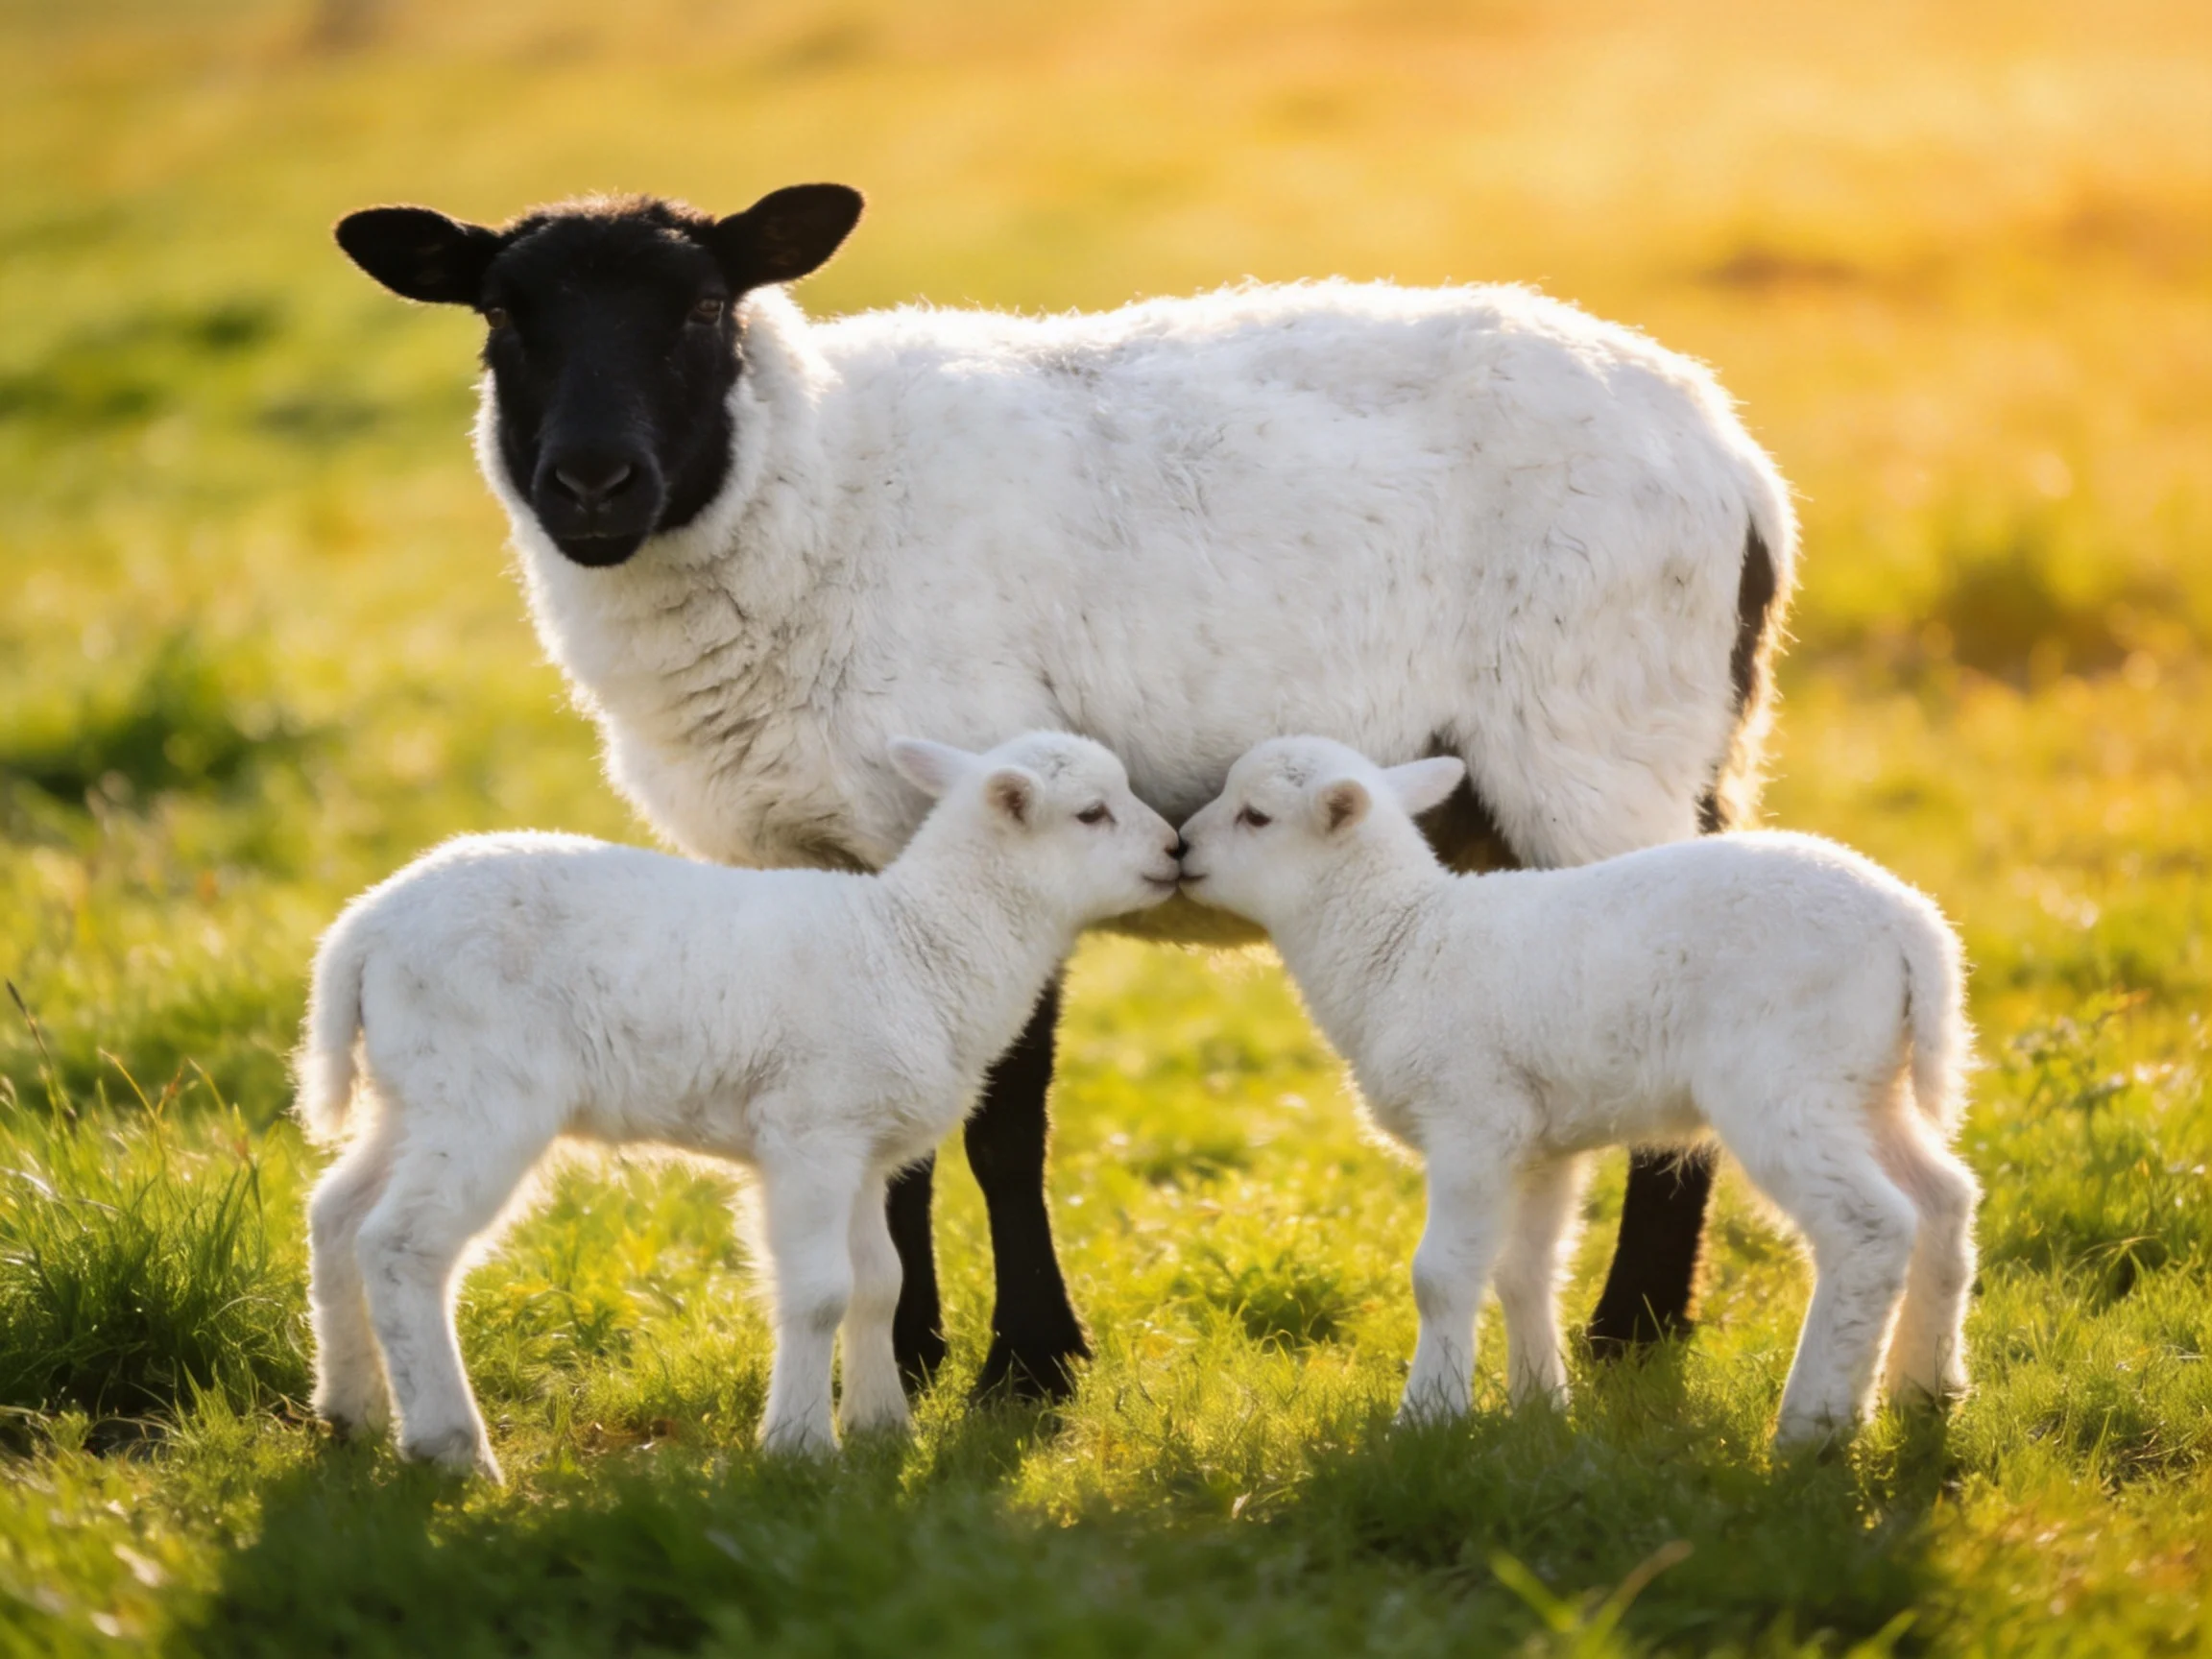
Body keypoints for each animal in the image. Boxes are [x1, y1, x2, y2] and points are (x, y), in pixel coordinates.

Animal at [294, 732, 1181, 1478]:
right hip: (485, 1094)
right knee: (403, 1246)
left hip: (417, 1092)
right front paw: (800, 1445)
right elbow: (819, 1292)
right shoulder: (809, 1133)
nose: (1175, 849)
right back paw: (450, 1446)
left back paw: (350, 1410)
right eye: (1092, 813)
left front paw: (882, 1429)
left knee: (337, 1213)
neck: (917, 941)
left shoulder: (864, 1147)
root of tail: (362, 929)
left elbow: (880, 1283)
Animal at [331, 184, 1799, 1397]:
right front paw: (910, 1349)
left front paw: (1022, 1364)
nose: (591, 483)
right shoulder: (801, 861)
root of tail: (1740, 462)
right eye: (501, 317)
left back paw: (1635, 1332)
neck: (812, 496)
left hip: (1603, 748)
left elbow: (999, 1122)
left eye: (701, 309)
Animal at [1177, 737, 1979, 1445]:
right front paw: (1540, 1410)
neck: (1400, 940)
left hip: (1785, 1078)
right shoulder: (1540, 1141)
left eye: (1256, 817)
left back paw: (1814, 1425)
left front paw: (1428, 1420)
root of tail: (1914, 927)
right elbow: (1524, 1271)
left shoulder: (1473, 1117)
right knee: (1942, 1197)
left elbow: (1441, 1277)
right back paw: (1925, 1390)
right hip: (1861, 1079)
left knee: (1870, 1226)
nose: (1181, 849)